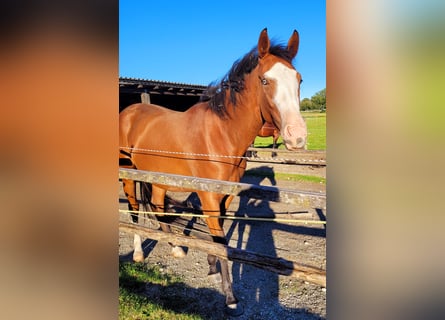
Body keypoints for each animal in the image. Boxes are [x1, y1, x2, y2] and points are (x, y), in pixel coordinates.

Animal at [118, 28, 306, 316]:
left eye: (299, 79)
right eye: (265, 80)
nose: (297, 137)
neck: (221, 135)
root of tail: (129, 111)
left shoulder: (226, 195)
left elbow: (219, 234)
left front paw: (210, 264)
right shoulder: (207, 195)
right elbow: (220, 241)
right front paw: (230, 297)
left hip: (159, 180)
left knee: (158, 207)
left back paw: (176, 247)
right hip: (130, 174)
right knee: (135, 209)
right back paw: (138, 253)